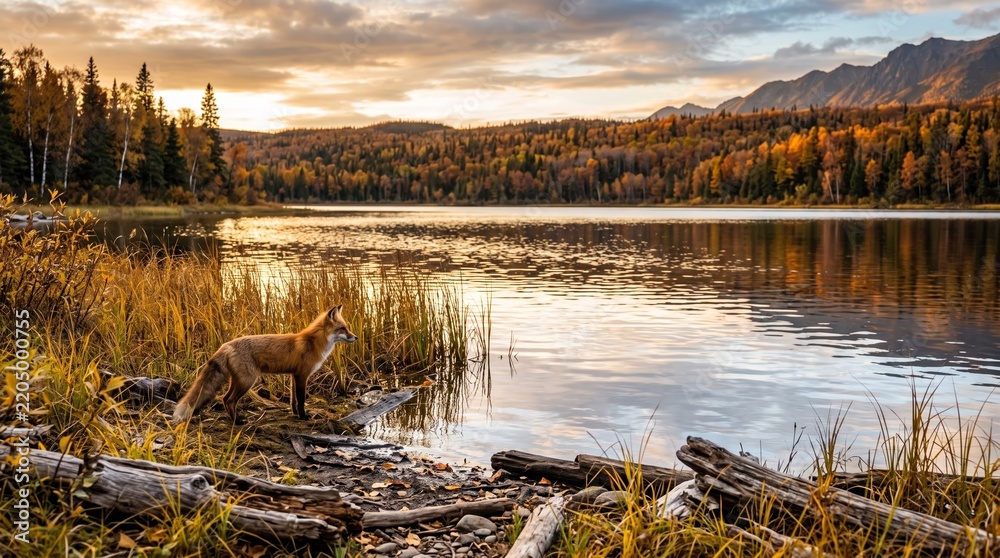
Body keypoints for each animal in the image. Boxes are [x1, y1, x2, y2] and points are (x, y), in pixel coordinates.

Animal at [172, 305, 357, 424]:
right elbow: (301, 400)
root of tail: (226, 345)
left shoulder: (293, 375)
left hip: (238, 380)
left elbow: (293, 400)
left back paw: (234, 419)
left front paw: (295, 414)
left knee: (225, 399)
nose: (355, 337)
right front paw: (304, 417)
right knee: (230, 400)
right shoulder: (302, 375)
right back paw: (238, 422)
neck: (312, 342)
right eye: (342, 328)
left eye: (347, 327)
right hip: (247, 381)